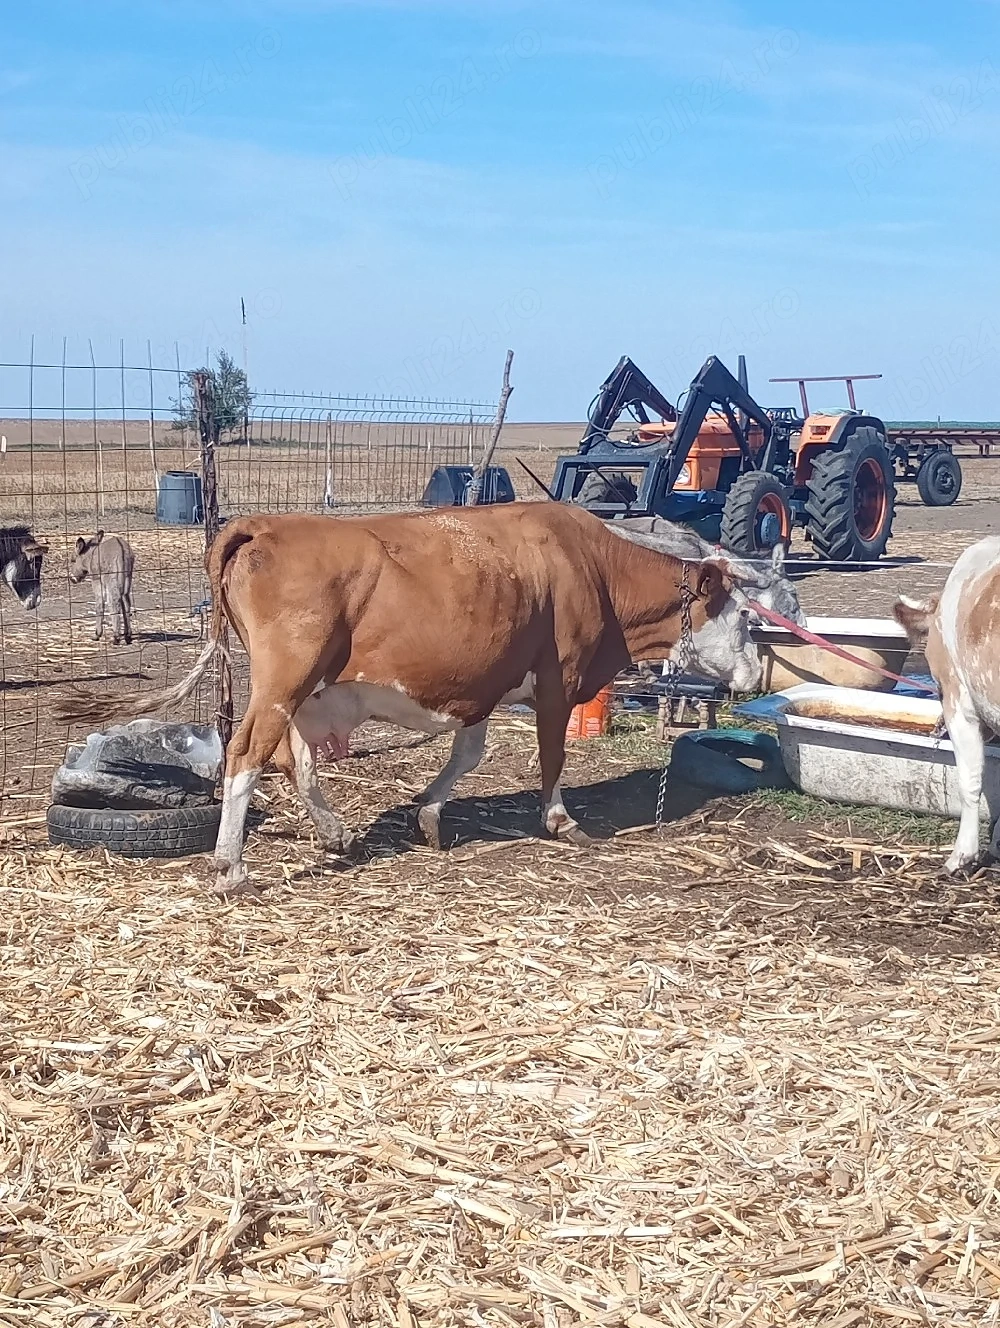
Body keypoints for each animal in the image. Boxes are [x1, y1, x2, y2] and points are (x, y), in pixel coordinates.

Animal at [57, 502, 762, 895]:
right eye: (746, 618)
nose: (757, 674)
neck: (591, 568)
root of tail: (264, 526)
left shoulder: (483, 687)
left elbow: (468, 754)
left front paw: (427, 814)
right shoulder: (558, 678)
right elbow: (552, 754)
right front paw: (560, 819)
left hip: (299, 689)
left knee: (294, 759)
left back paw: (335, 833)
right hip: (283, 678)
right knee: (246, 754)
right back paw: (232, 864)